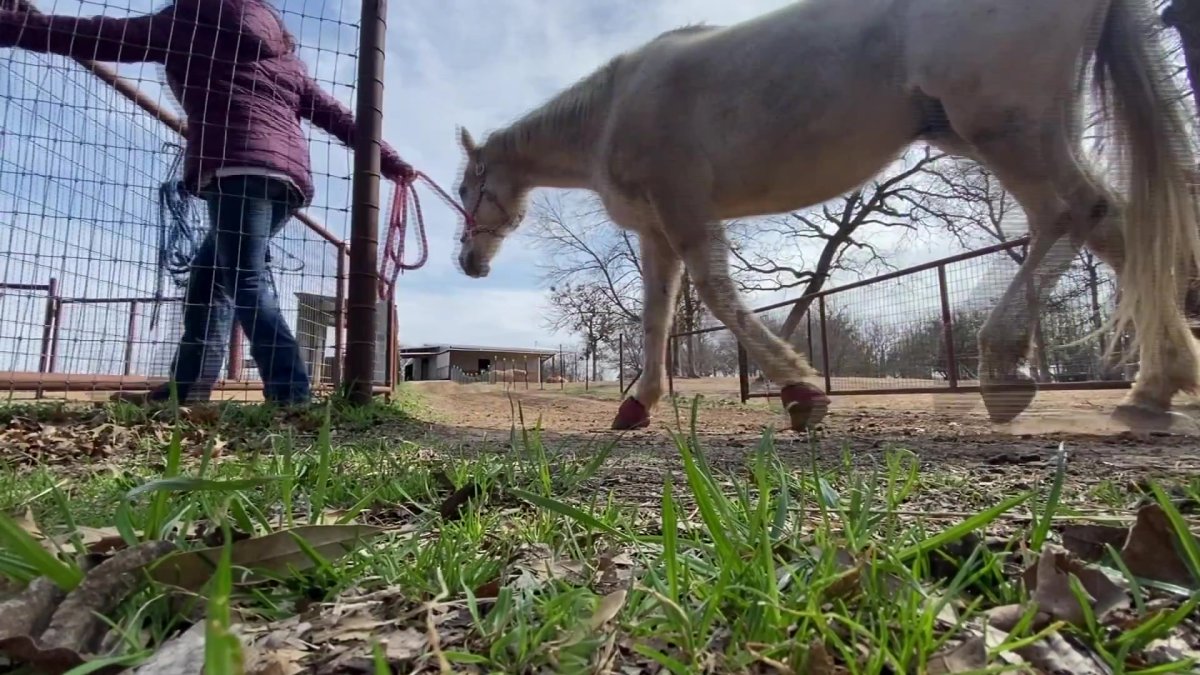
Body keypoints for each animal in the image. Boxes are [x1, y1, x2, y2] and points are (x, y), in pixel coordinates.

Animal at [452, 0, 1200, 433]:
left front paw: (800, 391)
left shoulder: (682, 208)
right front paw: (636, 404)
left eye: (466, 188)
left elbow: (717, 297)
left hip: (1006, 127)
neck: (612, 108)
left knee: (1075, 212)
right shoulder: (655, 229)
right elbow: (658, 317)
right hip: (997, 130)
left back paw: (1005, 365)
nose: (468, 261)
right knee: (1116, 229)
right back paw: (1154, 388)